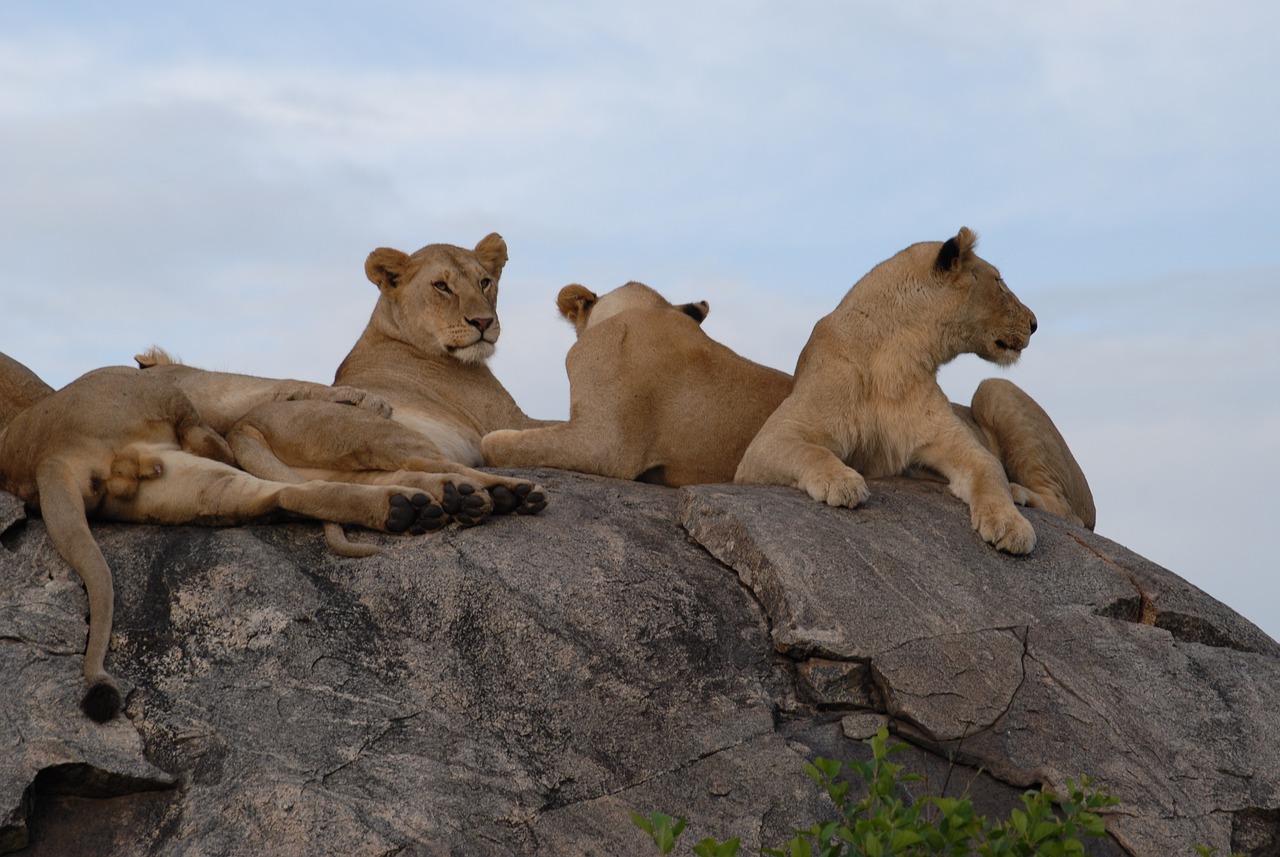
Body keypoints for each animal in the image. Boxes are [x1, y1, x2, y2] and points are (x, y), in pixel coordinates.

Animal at [0, 355, 450, 726]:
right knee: (224, 443)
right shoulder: (205, 384)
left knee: (285, 492)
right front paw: (366, 399)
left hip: (190, 487)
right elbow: (281, 383)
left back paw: (405, 510)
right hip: (149, 394)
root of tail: (48, 458)